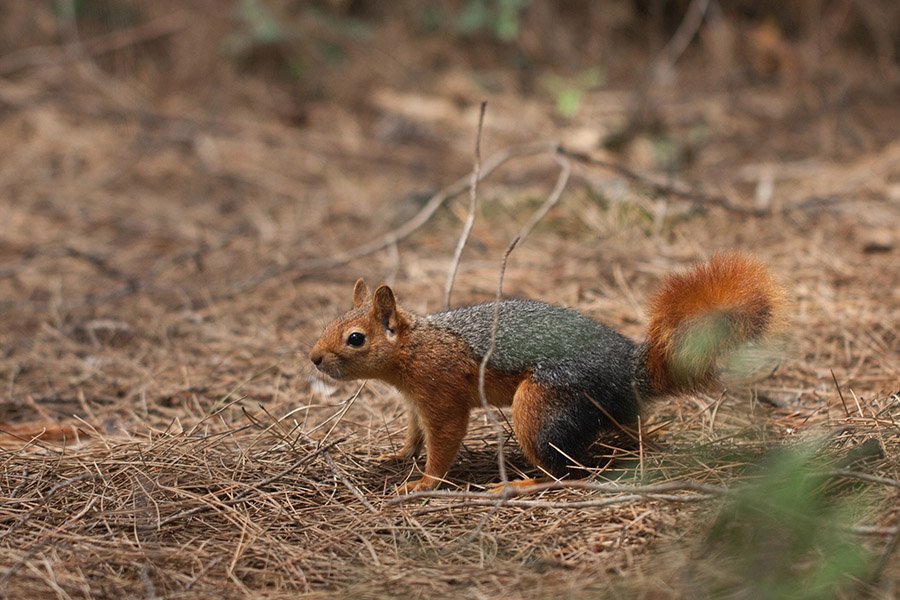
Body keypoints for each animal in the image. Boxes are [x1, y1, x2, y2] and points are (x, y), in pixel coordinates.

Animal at [308, 253, 780, 492]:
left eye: (355, 339)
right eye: (330, 322)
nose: (313, 358)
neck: (414, 348)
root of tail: (625, 366)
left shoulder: (441, 391)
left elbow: (442, 438)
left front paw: (422, 483)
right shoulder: (413, 402)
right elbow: (413, 432)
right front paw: (398, 455)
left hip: (541, 406)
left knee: (563, 475)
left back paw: (516, 486)